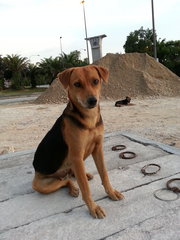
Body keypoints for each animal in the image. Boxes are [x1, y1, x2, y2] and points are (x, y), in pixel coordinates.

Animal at [31, 64, 124, 218]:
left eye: (95, 81)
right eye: (77, 84)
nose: (92, 100)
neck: (89, 119)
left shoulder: (98, 149)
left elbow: (104, 175)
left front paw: (111, 192)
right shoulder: (76, 155)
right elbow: (85, 188)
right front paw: (93, 208)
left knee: (71, 175)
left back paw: (82, 176)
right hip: (42, 184)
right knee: (65, 181)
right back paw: (73, 188)